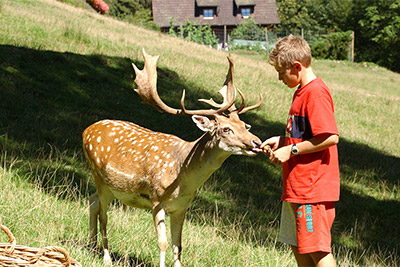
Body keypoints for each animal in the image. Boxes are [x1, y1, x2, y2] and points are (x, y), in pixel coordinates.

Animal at [82, 49, 262, 266]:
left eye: (244, 125)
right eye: (226, 129)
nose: (256, 142)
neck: (182, 176)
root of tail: (86, 130)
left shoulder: (181, 207)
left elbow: (178, 245)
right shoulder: (156, 199)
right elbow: (163, 242)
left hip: (107, 186)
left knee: (92, 201)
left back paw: (92, 246)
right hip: (99, 176)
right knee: (103, 215)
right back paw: (106, 256)